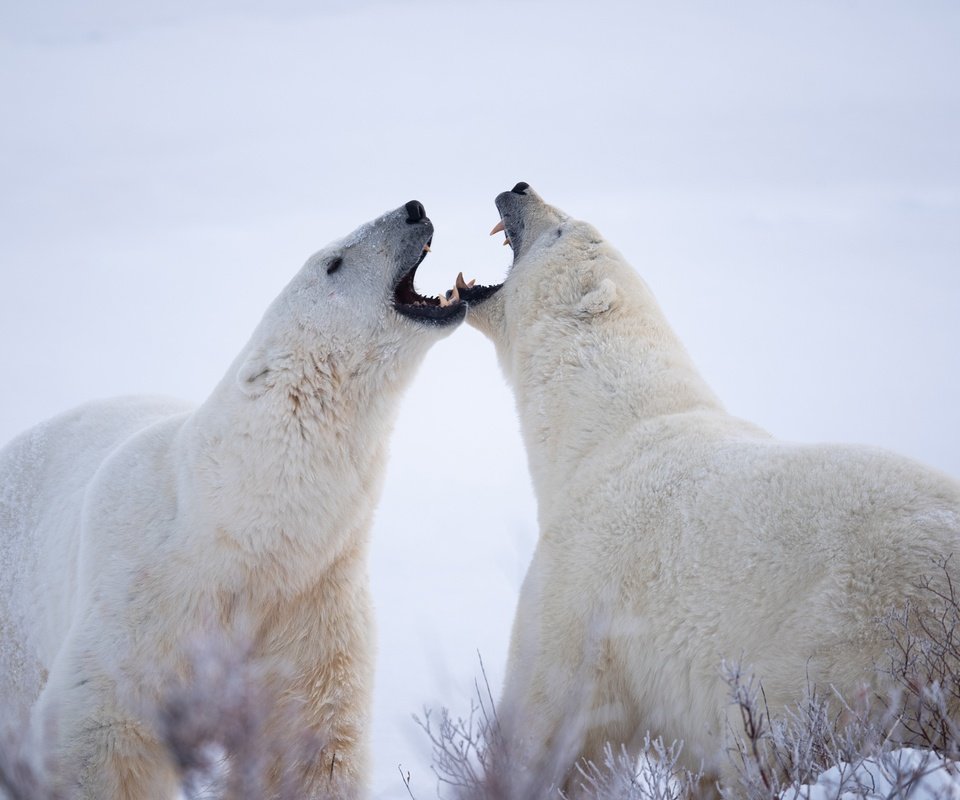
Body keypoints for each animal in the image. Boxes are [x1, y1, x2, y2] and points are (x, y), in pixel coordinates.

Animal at [0, 197, 464, 796]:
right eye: (333, 263)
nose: (413, 207)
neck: (237, 534)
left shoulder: (312, 608)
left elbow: (306, 749)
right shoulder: (137, 612)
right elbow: (101, 739)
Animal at [460, 186, 960, 792]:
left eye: (562, 231)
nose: (519, 188)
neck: (604, 426)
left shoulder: (584, 583)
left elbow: (548, 722)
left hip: (847, 643)